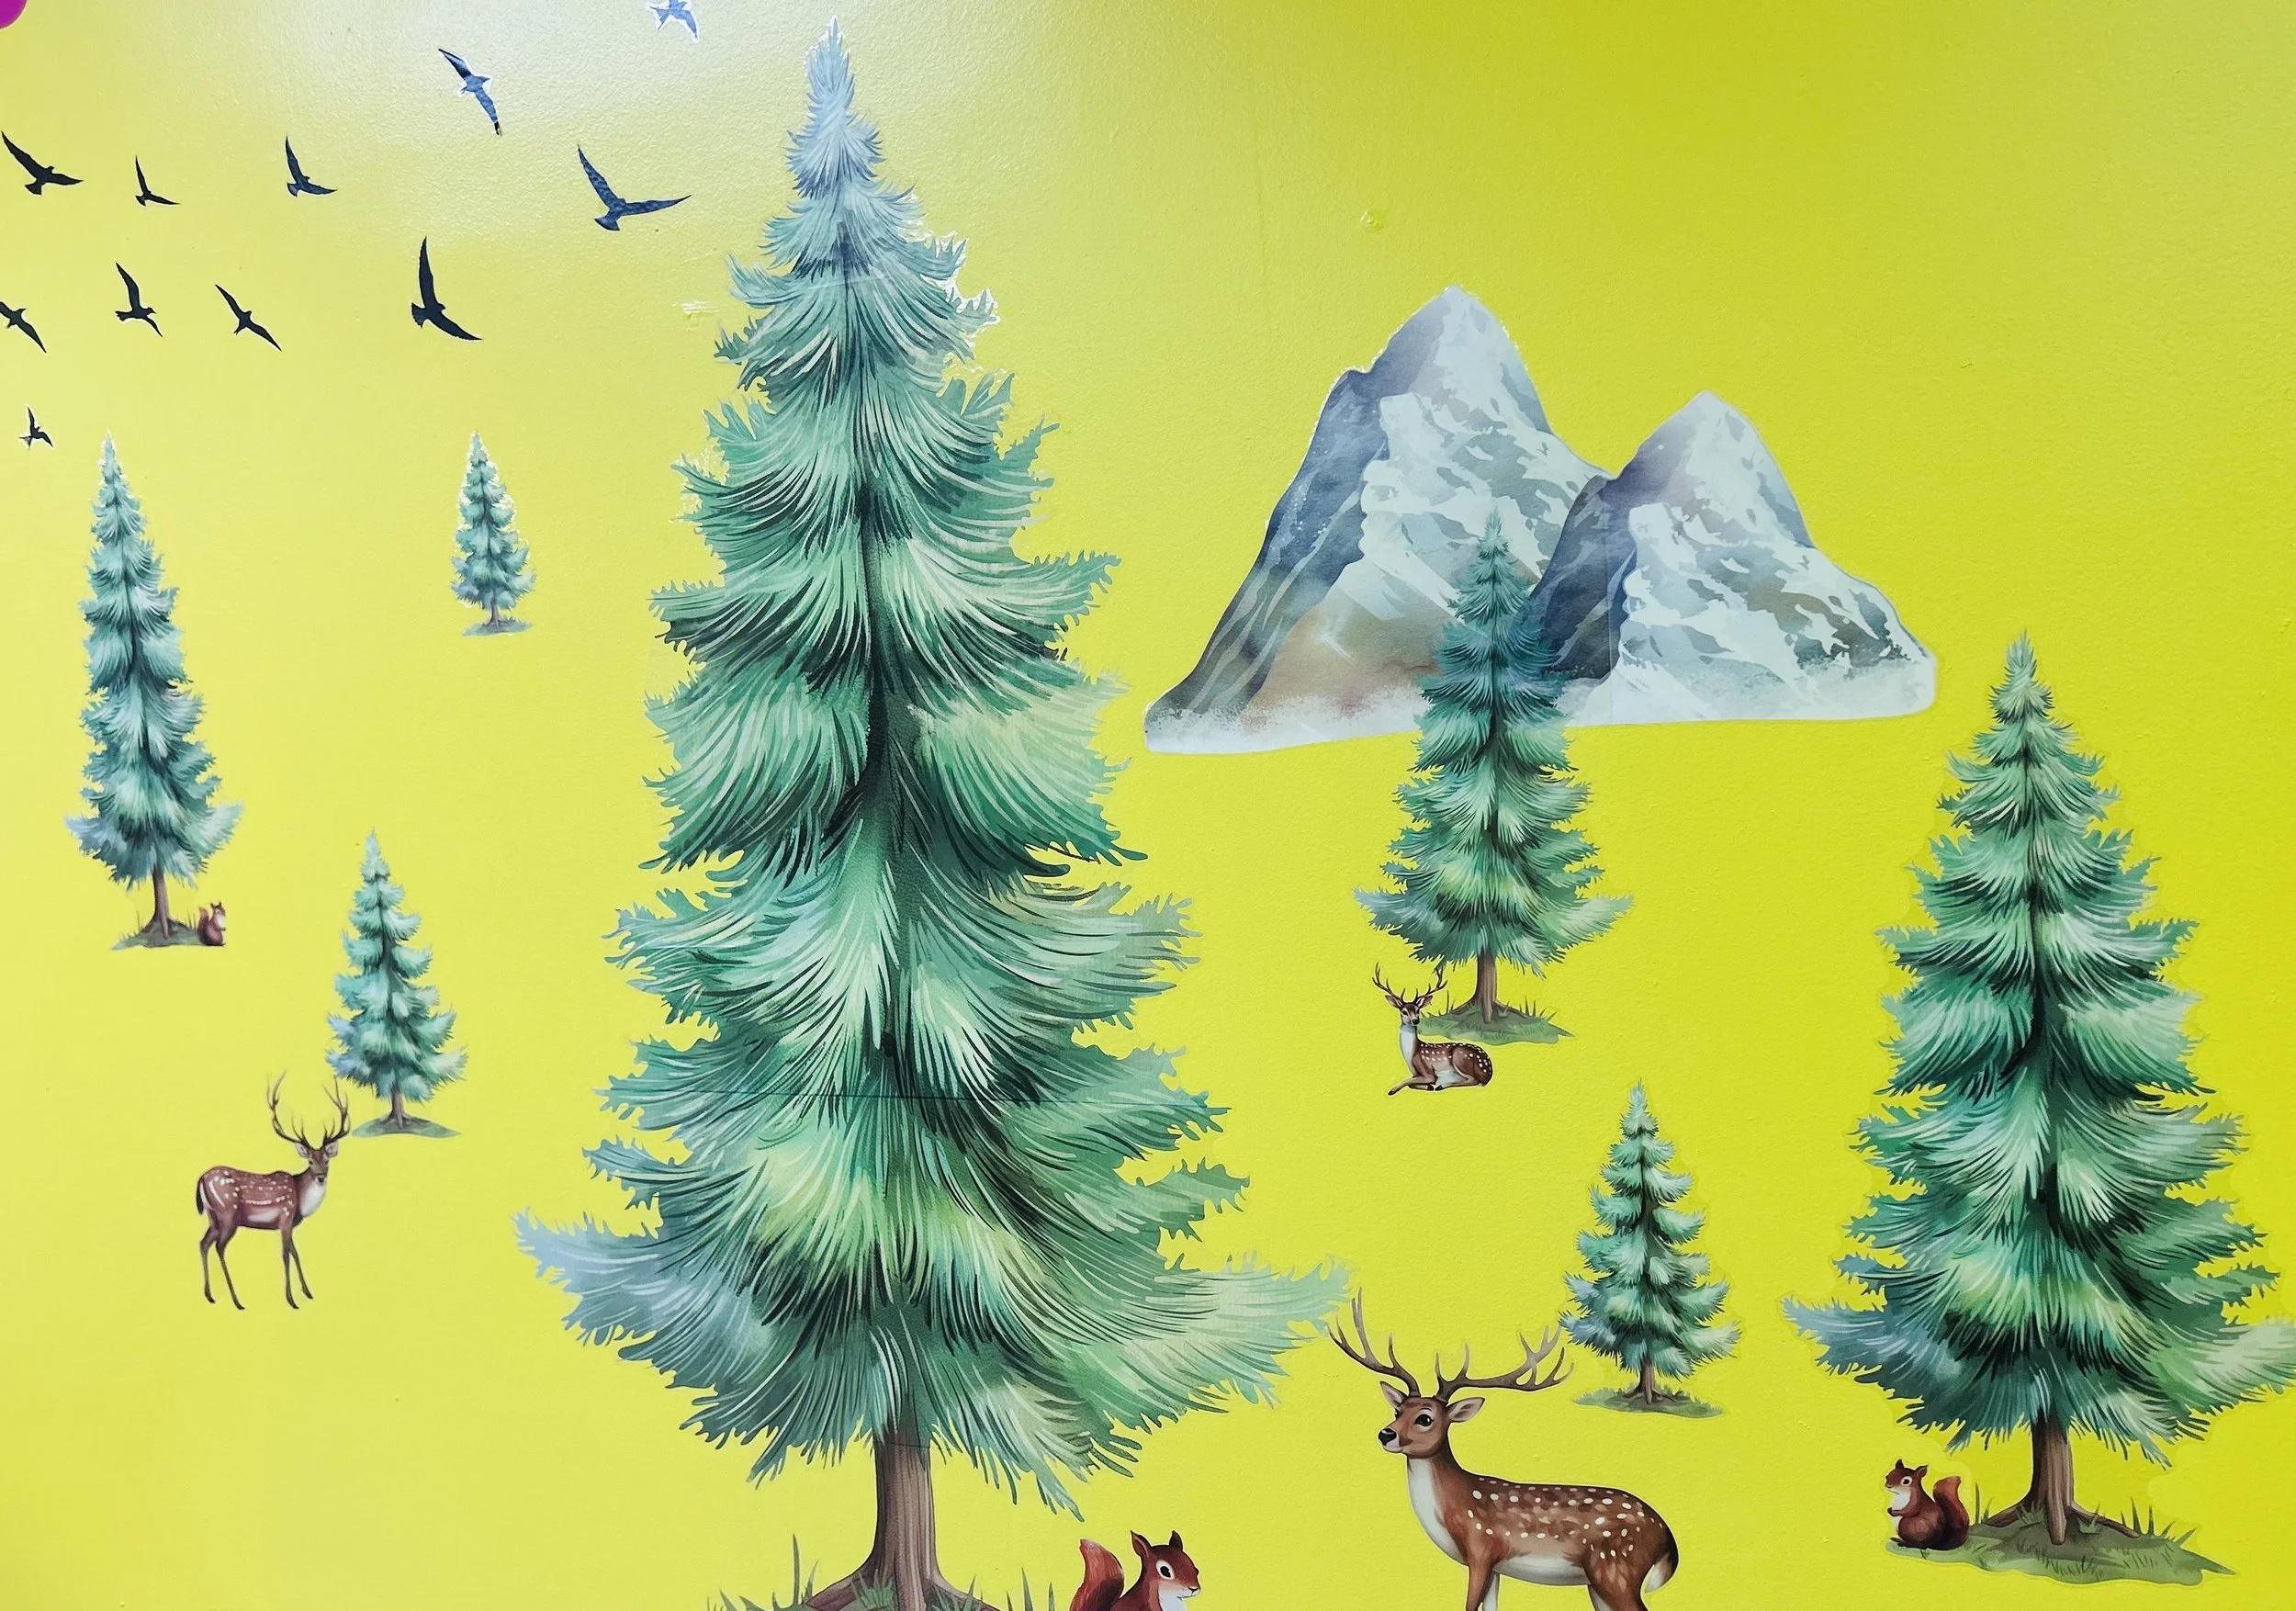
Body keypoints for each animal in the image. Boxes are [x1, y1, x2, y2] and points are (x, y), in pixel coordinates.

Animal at [196, 1077, 351, 1310]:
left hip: (212, 1216)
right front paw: (291, 1300)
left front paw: (307, 1292)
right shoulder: (286, 1216)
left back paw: (210, 1295)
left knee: (203, 1243)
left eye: (326, 1161)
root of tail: (201, 1179)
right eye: (310, 1161)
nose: (321, 1177)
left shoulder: (291, 1223)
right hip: (228, 1214)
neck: (301, 1200)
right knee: (219, 1247)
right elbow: (285, 1255)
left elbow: (295, 1253)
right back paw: (236, 1300)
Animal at [1333, 1296, 1680, 1611]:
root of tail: (1667, 1535)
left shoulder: (1482, 1549)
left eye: (1425, 1418)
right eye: (1398, 1409)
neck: (1452, 1508)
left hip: (1616, 1568)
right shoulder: (1498, 1567)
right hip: (1599, 1582)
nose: (1385, 1434)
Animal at [1375, 964, 1495, 1095]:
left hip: (1460, 1057)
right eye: (1404, 1012)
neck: (1411, 1055)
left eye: (1418, 1010)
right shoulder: (1416, 1074)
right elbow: (1411, 1082)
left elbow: (1410, 1082)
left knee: (1474, 1080)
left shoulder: (1427, 1071)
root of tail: (1489, 1070)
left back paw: (1441, 1085)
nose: (1415, 1021)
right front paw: (1429, 1087)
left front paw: (1392, 1090)